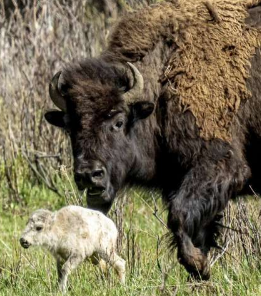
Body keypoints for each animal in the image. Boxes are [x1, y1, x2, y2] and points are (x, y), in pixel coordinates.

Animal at [44, 0, 260, 280]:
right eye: (70, 127)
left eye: (118, 121)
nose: (89, 175)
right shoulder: (179, 180)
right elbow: (194, 228)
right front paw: (200, 269)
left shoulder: (221, 165)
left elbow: (178, 216)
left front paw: (197, 265)